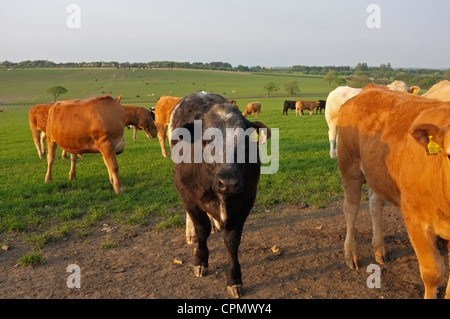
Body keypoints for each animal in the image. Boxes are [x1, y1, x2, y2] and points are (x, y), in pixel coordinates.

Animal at [169, 90, 270, 300]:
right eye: (206, 141)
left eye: (245, 142)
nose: (229, 182)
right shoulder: (188, 196)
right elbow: (202, 230)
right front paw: (200, 261)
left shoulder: (246, 201)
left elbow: (232, 240)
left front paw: (234, 279)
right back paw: (191, 234)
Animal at [338, 84, 450, 298]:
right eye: (449, 155)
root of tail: (370, 88)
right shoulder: (416, 220)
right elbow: (432, 273)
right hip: (350, 165)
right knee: (351, 209)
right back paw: (350, 253)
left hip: (377, 171)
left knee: (375, 204)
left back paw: (379, 248)